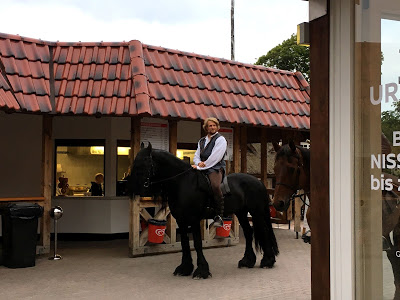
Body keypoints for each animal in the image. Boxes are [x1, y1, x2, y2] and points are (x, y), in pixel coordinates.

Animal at [130, 143, 280, 278]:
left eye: (144, 162)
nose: (131, 187)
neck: (183, 183)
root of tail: (259, 182)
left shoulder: (194, 219)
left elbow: (197, 243)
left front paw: (201, 270)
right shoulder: (181, 220)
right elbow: (184, 243)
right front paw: (185, 268)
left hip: (257, 212)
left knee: (263, 232)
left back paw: (267, 261)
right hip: (241, 213)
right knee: (249, 232)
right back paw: (247, 261)